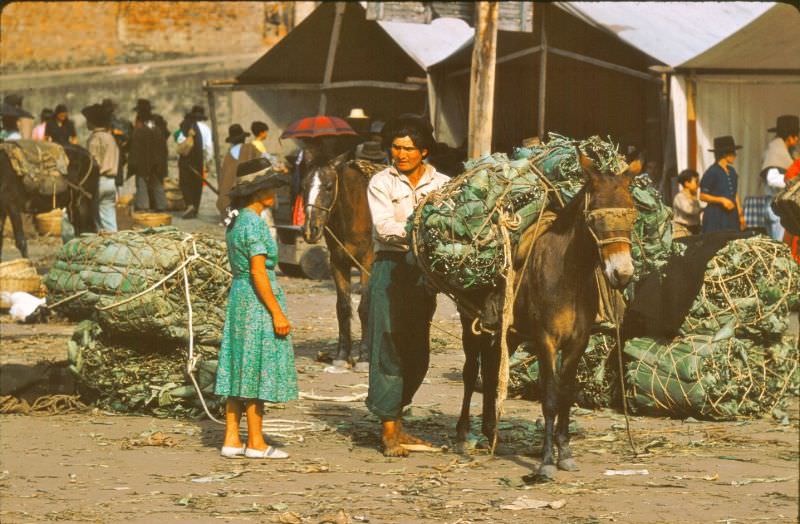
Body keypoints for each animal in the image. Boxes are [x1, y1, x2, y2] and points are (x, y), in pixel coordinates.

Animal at [304, 150, 384, 372]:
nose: (311, 230)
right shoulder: (338, 263)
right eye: (304, 186)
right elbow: (343, 307)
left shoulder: (367, 264)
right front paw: (341, 356)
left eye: (329, 186)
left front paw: (364, 358)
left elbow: (364, 307)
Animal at [456, 154, 636, 482]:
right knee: (470, 373)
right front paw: (546, 461)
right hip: (470, 324)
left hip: (508, 333)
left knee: (492, 372)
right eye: (596, 218)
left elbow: (565, 395)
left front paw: (565, 453)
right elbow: (550, 398)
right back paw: (464, 434)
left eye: (632, 216)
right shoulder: (545, 342)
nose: (623, 274)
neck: (568, 274)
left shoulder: (577, 343)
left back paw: (491, 433)